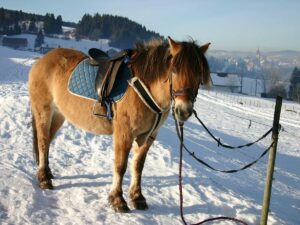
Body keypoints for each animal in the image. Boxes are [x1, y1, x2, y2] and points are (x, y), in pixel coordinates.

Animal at [28, 37, 211, 213]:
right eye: (174, 70)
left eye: (199, 75)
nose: (184, 111)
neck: (144, 86)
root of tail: (41, 61)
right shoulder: (125, 133)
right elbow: (120, 166)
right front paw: (117, 200)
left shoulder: (148, 137)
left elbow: (138, 166)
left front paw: (137, 197)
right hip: (44, 112)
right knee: (43, 142)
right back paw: (44, 179)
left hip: (59, 115)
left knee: (47, 141)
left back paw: (47, 173)